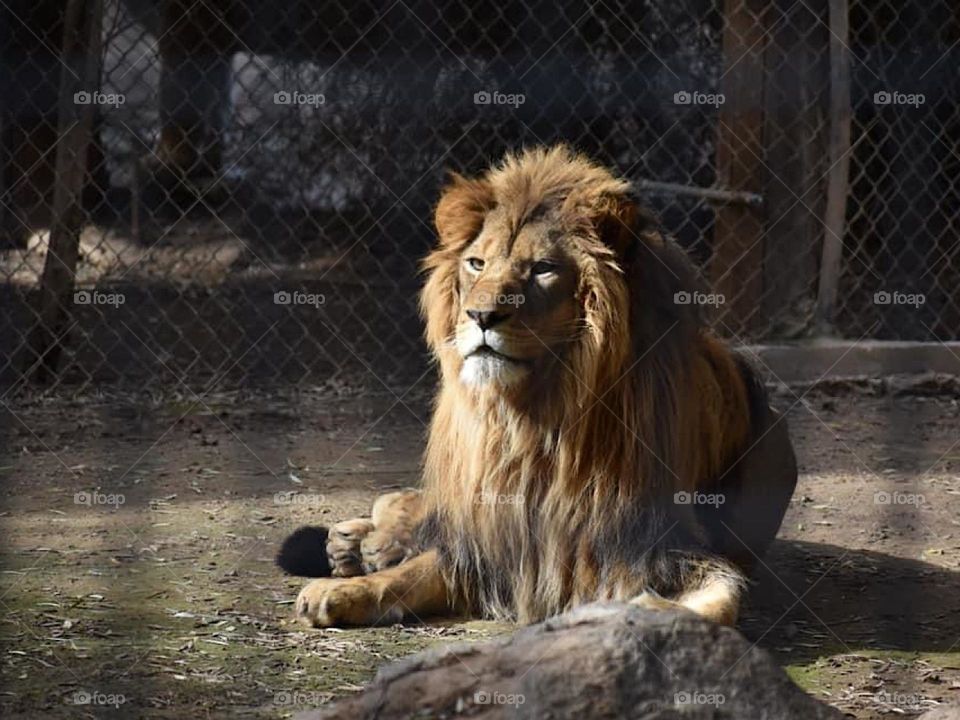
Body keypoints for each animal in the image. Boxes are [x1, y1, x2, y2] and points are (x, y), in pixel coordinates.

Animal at [277, 145, 797, 628]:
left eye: (543, 268)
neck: (536, 419)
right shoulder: (490, 538)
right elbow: (415, 569)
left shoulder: (649, 545)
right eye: (476, 263)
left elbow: (722, 601)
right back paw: (356, 544)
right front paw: (339, 592)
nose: (481, 315)